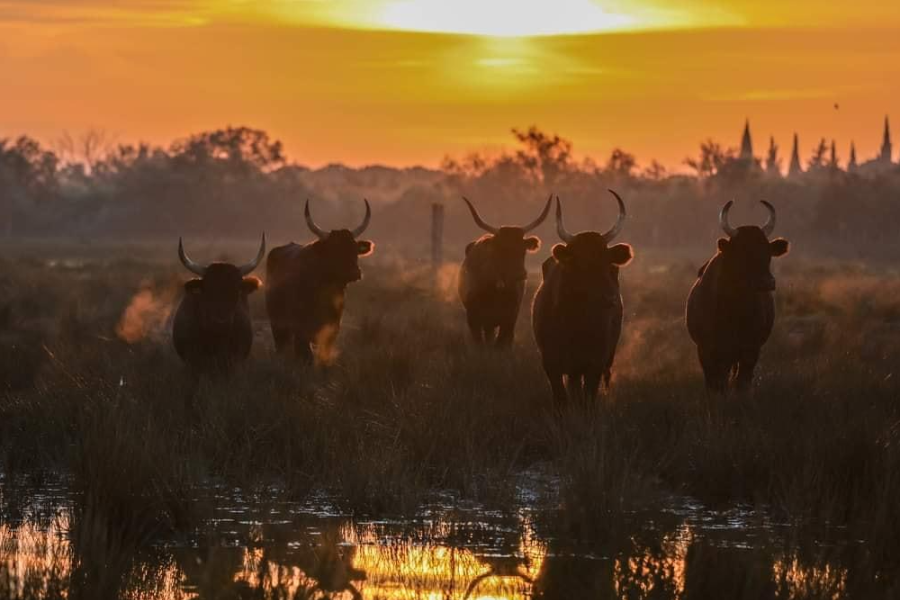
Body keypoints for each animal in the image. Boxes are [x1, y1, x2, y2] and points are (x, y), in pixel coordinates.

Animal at [264, 199, 372, 364]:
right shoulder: (301, 329)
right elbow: (305, 355)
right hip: (277, 322)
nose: (355, 272)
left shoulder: (332, 328)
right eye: (334, 249)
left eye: (354, 249)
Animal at [460, 197, 552, 346]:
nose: (520, 274)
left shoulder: (509, 319)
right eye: (501, 249)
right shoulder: (473, 319)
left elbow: (501, 343)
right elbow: (480, 344)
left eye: (523, 249)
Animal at [532, 191, 628, 408]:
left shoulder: (595, 363)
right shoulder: (551, 363)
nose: (610, 297)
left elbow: (588, 398)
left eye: (609, 263)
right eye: (582, 262)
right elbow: (561, 399)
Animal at [688, 199, 788, 392]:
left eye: (767, 252)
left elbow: (742, 384)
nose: (767, 282)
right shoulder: (707, 351)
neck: (734, 308)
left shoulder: (751, 349)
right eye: (743, 252)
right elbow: (715, 385)